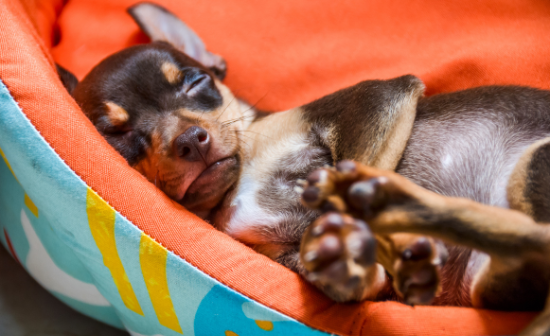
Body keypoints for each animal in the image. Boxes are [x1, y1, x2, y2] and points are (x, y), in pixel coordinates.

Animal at [57, 3, 550, 336]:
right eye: (118, 136)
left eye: (198, 83)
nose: (191, 140)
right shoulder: (279, 254)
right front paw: (347, 265)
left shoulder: (377, 100)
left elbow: (351, 185)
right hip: (489, 277)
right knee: (530, 247)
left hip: (529, 169)